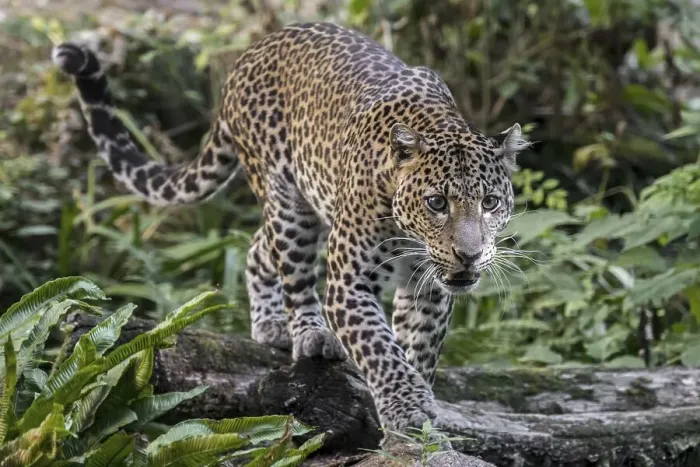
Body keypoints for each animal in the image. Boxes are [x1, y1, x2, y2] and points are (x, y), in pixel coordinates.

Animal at [52, 21, 530, 433]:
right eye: (437, 203)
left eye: (489, 202)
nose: (469, 255)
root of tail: (250, 53)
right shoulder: (350, 282)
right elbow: (380, 350)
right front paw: (407, 409)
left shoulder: (428, 289)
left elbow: (417, 349)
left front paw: (419, 413)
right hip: (288, 203)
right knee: (292, 271)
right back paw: (309, 334)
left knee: (258, 248)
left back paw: (271, 324)